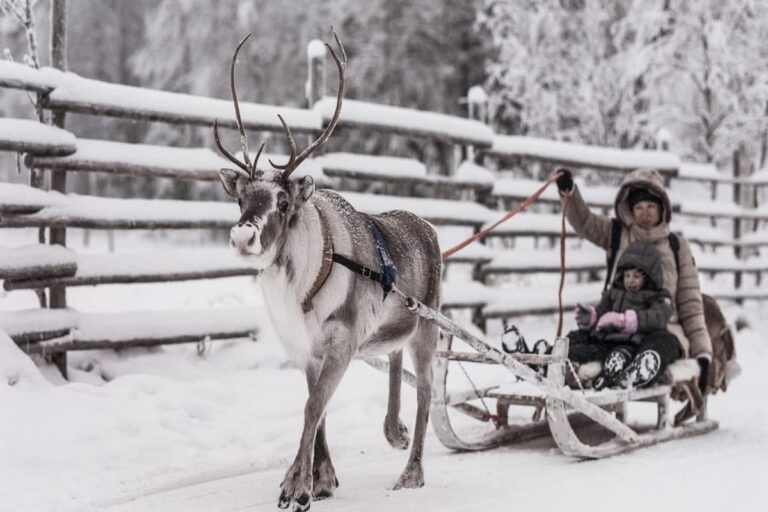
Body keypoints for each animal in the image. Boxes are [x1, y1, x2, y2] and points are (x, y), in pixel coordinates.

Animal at [213, 31, 442, 512]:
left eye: (282, 202)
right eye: (240, 199)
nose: (243, 236)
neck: (299, 290)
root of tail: (427, 227)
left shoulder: (341, 340)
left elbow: (312, 408)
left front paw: (294, 486)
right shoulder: (306, 349)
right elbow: (316, 409)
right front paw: (321, 480)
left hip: (428, 324)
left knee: (427, 388)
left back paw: (411, 471)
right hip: (395, 323)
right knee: (395, 355)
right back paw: (393, 430)